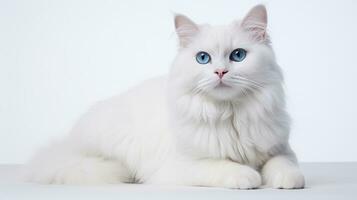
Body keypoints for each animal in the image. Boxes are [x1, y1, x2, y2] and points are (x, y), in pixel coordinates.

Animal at [25, 5, 304, 189]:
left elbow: (284, 165)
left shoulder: (281, 149)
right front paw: (249, 176)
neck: (230, 113)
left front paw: (288, 180)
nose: (220, 72)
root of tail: (65, 146)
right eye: (203, 58)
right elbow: (224, 166)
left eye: (238, 55)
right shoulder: (181, 166)